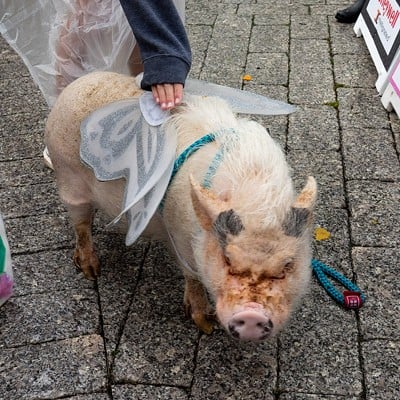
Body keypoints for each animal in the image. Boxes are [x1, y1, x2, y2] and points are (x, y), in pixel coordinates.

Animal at [44, 71, 318, 340]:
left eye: (287, 265)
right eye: (227, 259)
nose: (252, 316)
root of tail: (77, 84)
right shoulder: (181, 238)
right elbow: (194, 277)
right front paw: (206, 325)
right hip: (68, 179)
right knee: (81, 224)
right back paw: (92, 270)